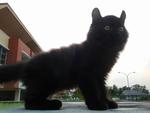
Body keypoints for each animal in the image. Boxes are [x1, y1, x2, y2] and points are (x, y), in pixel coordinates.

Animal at [0, 8, 129, 110]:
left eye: (121, 29)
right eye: (107, 27)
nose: (118, 34)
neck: (104, 52)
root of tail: (28, 62)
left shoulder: (100, 76)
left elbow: (102, 90)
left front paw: (107, 102)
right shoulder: (87, 75)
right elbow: (92, 90)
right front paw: (96, 104)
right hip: (45, 82)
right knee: (29, 102)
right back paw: (53, 104)